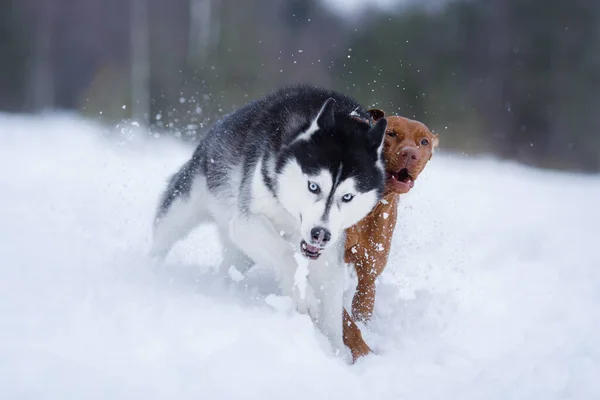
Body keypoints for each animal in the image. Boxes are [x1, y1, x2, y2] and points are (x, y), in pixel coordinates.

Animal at [342, 112, 440, 362]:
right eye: (391, 133)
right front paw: (363, 354)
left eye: (423, 142)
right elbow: (346, 322)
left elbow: (359, 316)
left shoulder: (368, 278)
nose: (410, 154)